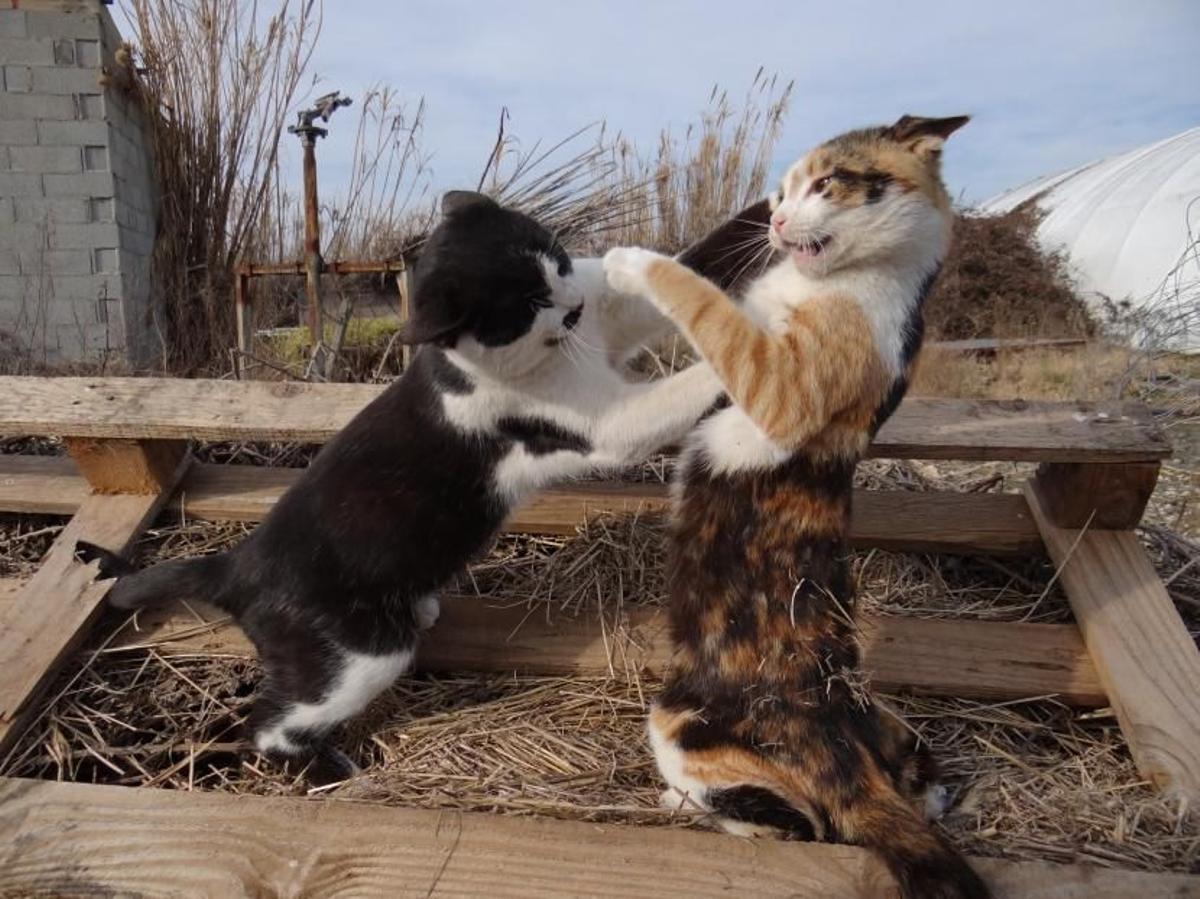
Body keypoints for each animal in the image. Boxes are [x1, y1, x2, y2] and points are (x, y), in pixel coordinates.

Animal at [77, 190, 748, 787]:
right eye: (527, 303)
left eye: (558, 258)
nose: (575, 301)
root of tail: (236, 566)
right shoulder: (603, 423)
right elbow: (680, 386)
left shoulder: (612, 319)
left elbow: (696, 270)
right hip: (358, 656)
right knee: (269, 724)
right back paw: (327, 772)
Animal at [604, 115, 988, 892]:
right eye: (779, 193)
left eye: (825, 184)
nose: (776, 220)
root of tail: (841, 745)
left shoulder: (777, 387)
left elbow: (707, 305)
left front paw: (633, 261)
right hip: (898, 733)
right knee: (916, 779)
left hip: (675, 724)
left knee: (802, 822)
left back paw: (678, 802)